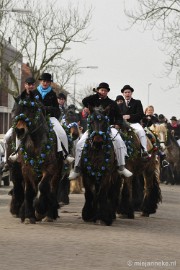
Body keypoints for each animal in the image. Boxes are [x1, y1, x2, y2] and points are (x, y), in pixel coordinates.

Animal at [10, 93, 63, 224]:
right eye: (16, 110)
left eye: (33, 110)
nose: (19, 131)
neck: (35, 143)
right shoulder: (26, 168)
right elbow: (29, 191)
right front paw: (29, 216)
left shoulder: (50, 168)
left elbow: (43, 187)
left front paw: (39, 210)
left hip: (57, 172)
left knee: (52, 188)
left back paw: (49, 214)